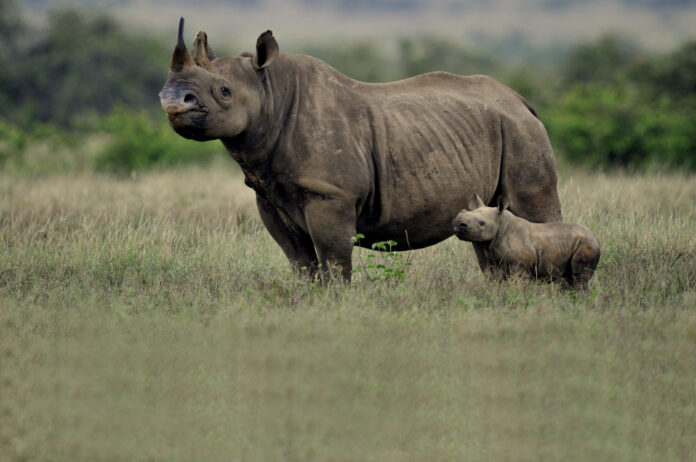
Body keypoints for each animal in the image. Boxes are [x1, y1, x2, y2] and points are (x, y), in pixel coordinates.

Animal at [452, 195, 600, 288]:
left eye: (481, 223)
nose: (457, 224)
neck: (502, 224)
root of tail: (596, 238)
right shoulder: (496, 260)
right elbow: (496, 279)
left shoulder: (519, 265)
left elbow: (515, 284)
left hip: (587, 244)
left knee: (579, 277)